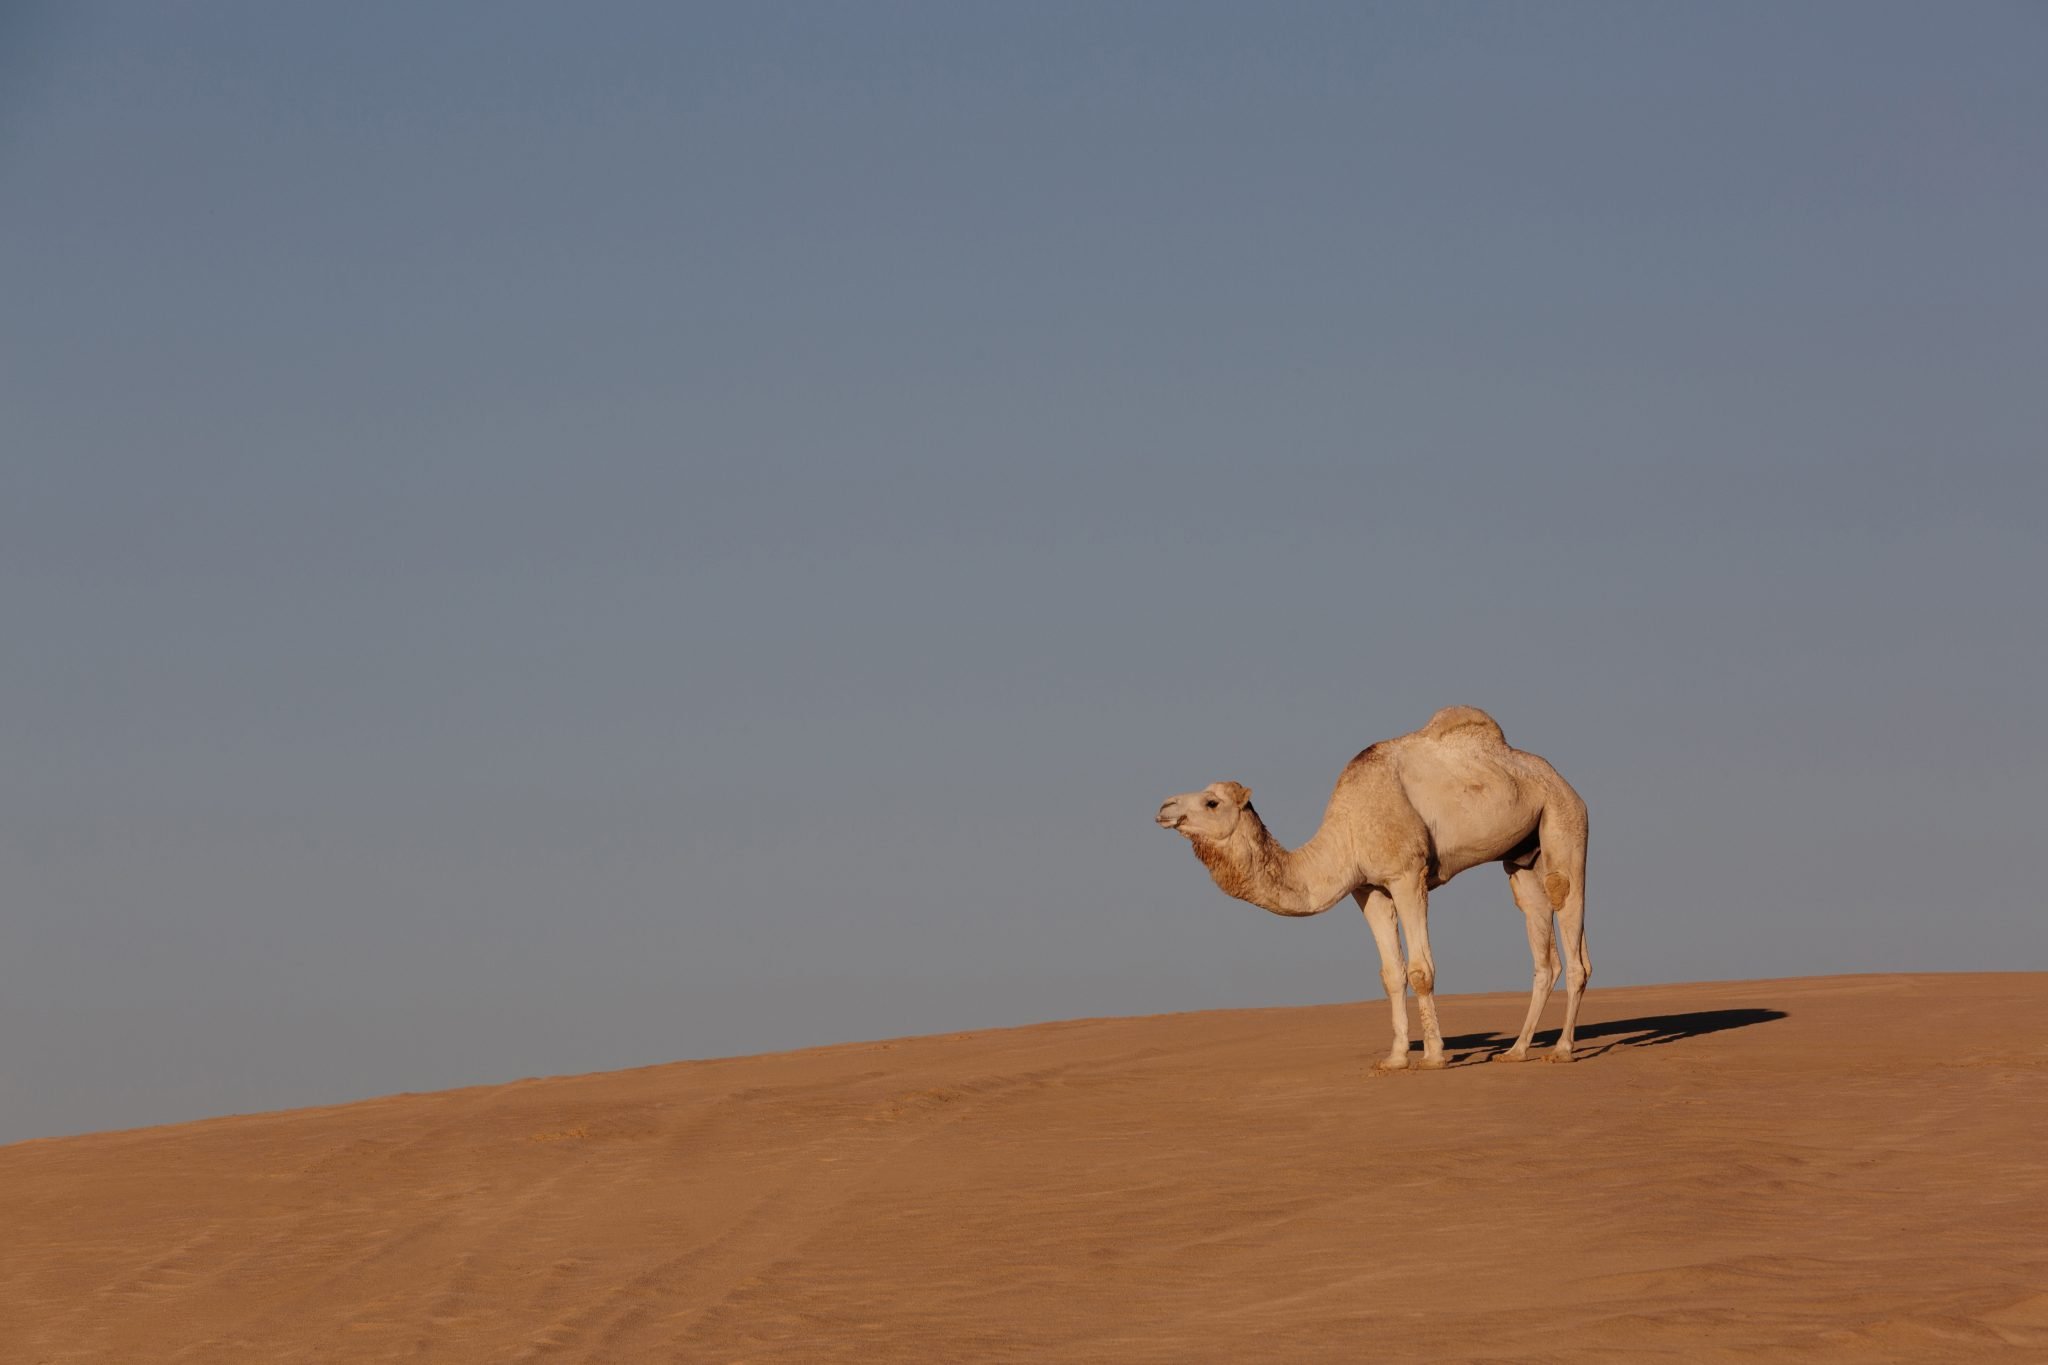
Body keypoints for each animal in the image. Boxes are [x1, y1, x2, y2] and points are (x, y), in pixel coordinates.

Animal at [1163, 712, 1589, 1072]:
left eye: (1211, 802)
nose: (1165, 807)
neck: (1346, 834)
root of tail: (1563, 780)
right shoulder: (1368, 889)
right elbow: (1391, 974)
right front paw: (1395, 1059)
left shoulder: (1407, 874)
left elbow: (1419, 970)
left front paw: (1433, 1057)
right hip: (1522, 856)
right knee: (1540, 938)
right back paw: (1516, 1051)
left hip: (1565, 820)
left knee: (1567, 911)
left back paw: (1562, 1050)